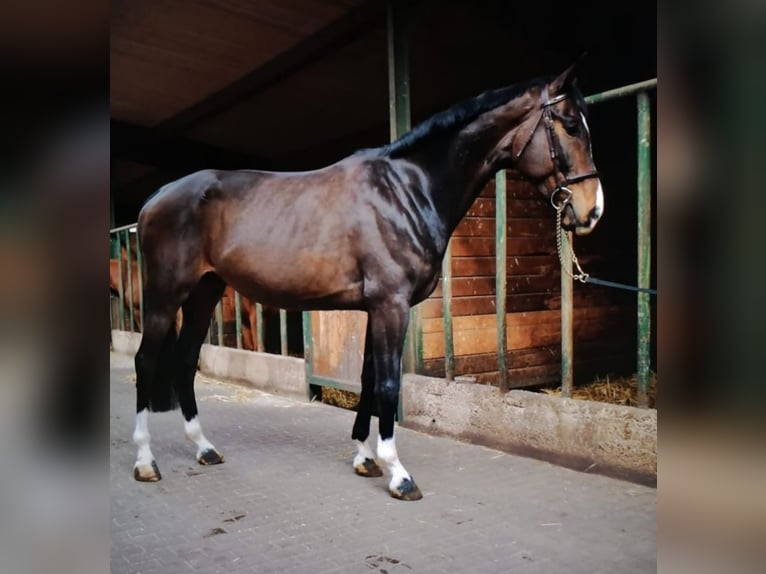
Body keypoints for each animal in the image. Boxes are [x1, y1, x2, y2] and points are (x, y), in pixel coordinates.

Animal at [132, 64, 608, 504]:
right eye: (569, 124)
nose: (593, 211)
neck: (406, 190)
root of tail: (155, 199)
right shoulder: (391, 305)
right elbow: (388, 384)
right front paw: (398, 473)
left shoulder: (374, 307)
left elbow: (366, 378)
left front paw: (365, 457)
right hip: (165, 298)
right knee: (145, 362)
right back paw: (145, 462)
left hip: (204, 294)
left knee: (185, 361)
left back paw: (204, 448)